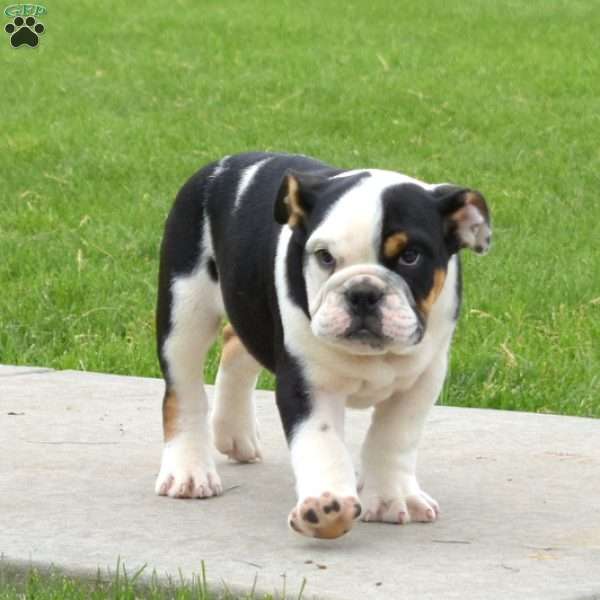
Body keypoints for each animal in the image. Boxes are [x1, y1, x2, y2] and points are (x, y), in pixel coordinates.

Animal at [152, 151, 490, 540]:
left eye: (411, 256)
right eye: (324, 256)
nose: (362, 292)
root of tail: (221, 164)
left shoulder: (423, 377)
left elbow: (395, 436)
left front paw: (393, 497)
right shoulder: (307, 383)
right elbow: (320, 442)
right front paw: (326, 506)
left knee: (236, 342)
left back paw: (234, 434)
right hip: (184, 312)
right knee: (184, 393)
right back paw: (189, 472)